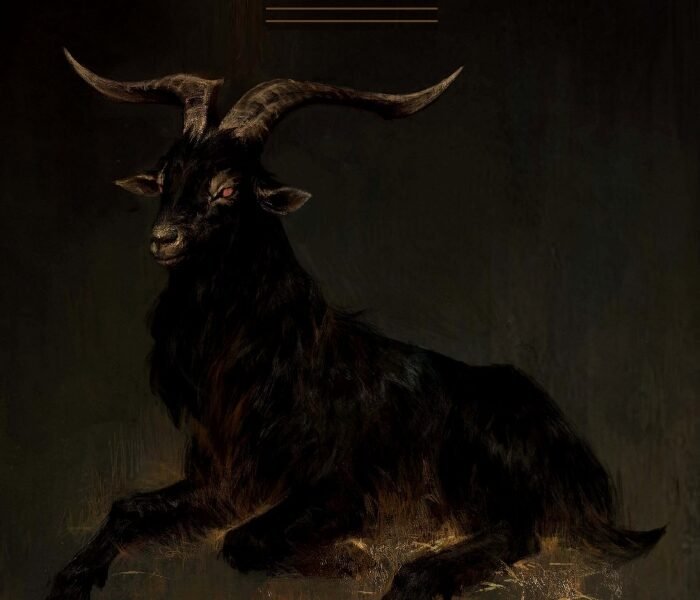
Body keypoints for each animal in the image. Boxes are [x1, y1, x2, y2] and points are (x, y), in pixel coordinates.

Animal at [48, 50, 664, 600]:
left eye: (228, 188)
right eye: (165, 178)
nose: (163, 240)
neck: (273, 356)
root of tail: (582, 468)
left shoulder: (338, 489)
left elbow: (241, 542)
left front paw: (353, 559)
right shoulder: (226, 480)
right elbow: (129, 507)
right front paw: (72, 578)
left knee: (520, 530)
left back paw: (417, 577)